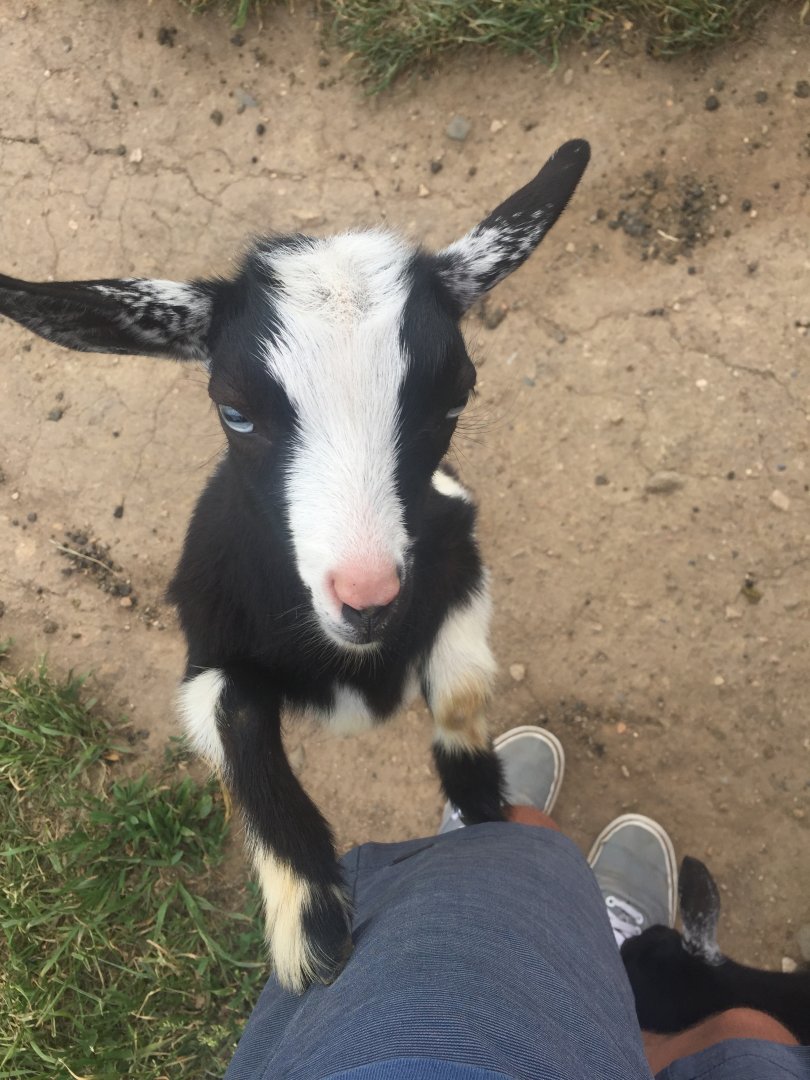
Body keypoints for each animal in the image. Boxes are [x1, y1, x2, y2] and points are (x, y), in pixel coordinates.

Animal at [0, 139, 590, 992]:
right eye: (234, 410)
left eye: (458, 396)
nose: (367, 600)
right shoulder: (207, 645)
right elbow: (239, 717)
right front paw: (310, 928)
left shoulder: (460, 558)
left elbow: (459, 689)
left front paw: (483, 806)